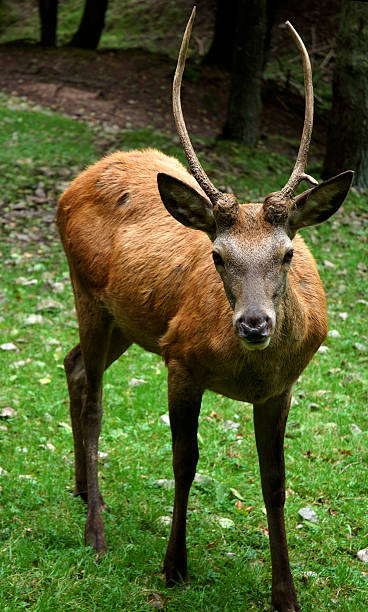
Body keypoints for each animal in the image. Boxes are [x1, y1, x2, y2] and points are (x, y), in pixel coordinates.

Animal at [56, 9, 354, 612]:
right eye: (216, 255)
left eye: (287, 253)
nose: (255, 324)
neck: (246, 371)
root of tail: (68, 190)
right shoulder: (180, 360)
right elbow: (184, 460)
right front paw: (174, 566)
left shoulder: (281, 386)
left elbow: (274, 479)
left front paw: (285, 593)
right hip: (86, 290)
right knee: (94, 396)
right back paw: (96, 531)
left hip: (126, 320)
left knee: (73, 365)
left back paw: (81, 488)